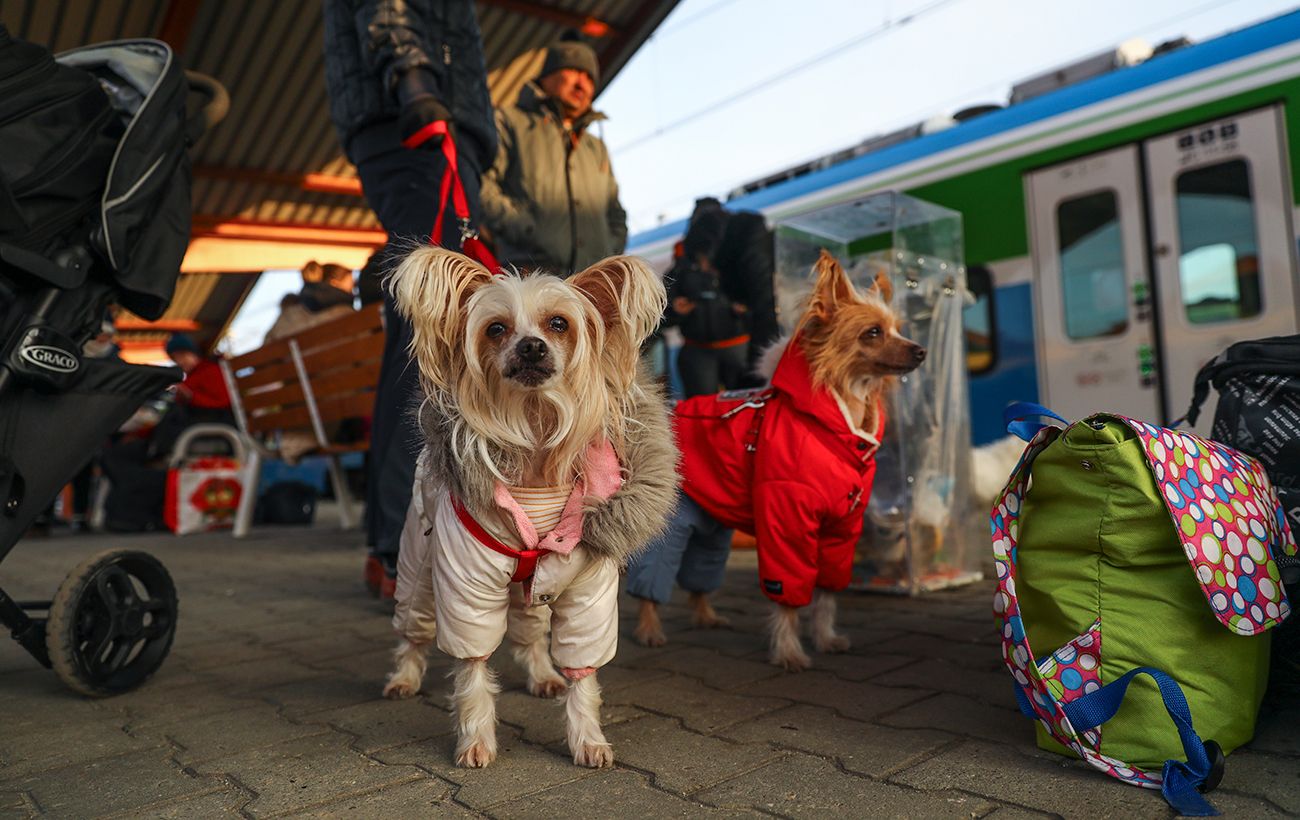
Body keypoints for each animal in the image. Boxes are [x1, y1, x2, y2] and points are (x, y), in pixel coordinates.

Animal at [626, 252, 925, 675]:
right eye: (873, 333)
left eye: (898, 329)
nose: (921, 350)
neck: (832, 424)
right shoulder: (788, 521)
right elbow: (789, 598)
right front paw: (789, 651)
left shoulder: (840, 530)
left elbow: (826, 594)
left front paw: (826, 638)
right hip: (672, 524)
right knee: (654, 577)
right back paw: (649, 629)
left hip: (709, 522)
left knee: (699, 571)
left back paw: (706, 615)